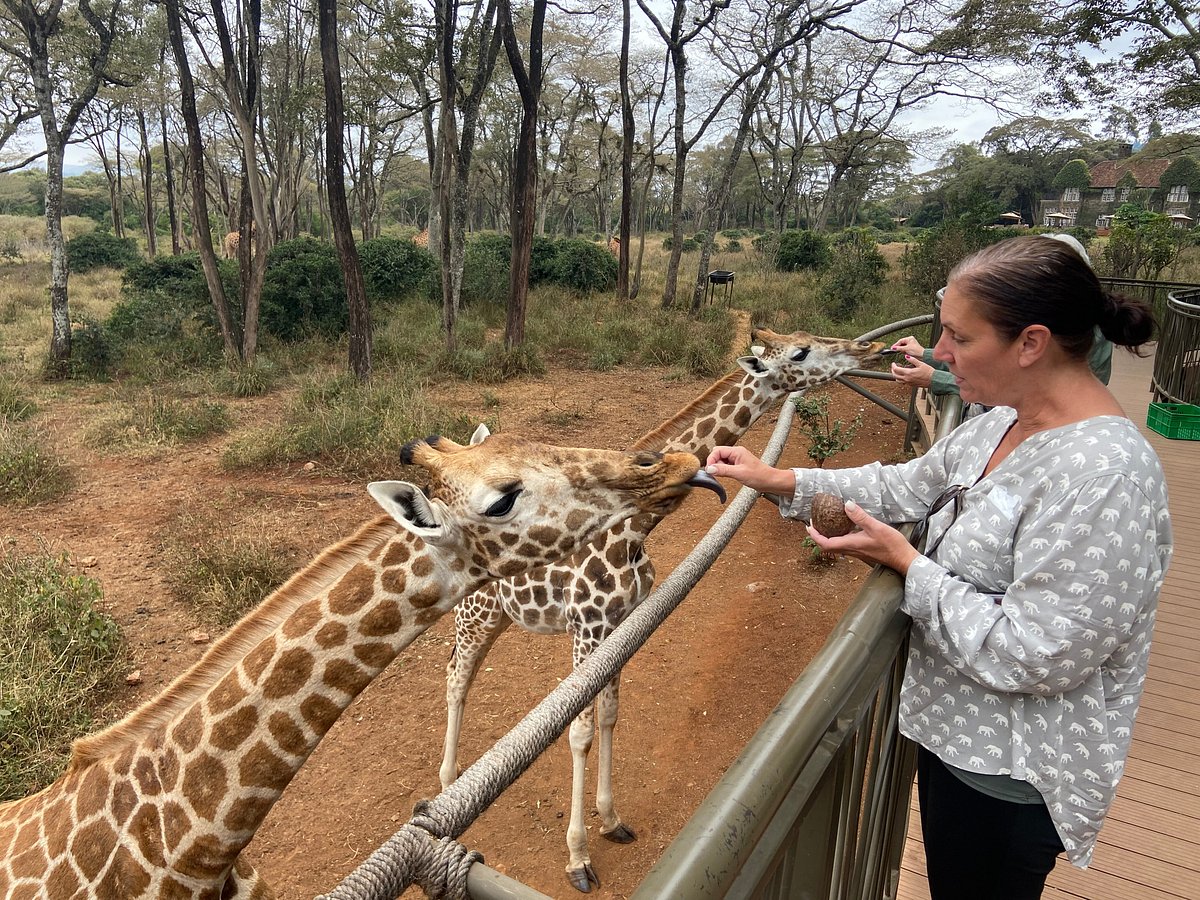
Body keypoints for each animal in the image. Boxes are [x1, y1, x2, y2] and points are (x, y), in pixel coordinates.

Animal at [441, 326, 892, 897]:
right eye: (800, 352)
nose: (869, 349)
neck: (633, 531)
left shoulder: (618, 626)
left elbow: (610, 716)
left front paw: (612, 821)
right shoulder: (586, 627)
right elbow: (579, 734)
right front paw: (578, 858)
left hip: (499, 614)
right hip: (476, 611)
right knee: (456, 678)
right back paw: (448, 783)